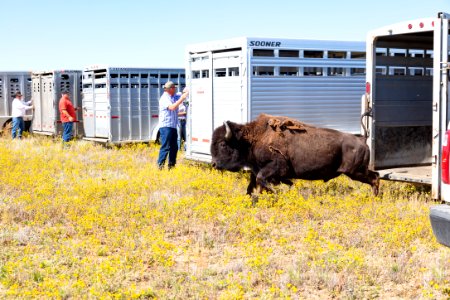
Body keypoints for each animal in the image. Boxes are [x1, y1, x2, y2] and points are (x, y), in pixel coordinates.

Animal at [211, 113, 380, 196]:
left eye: (222, 144)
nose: (214, 164)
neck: (252, 139)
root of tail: (362, 139)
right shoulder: (258, 170)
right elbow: (254, 184)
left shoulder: (273, 168)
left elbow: (260, 180)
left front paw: (275, 192)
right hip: (357, 172)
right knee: (375, 176)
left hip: (355, 172)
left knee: (375, 178)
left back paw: (374, 198)